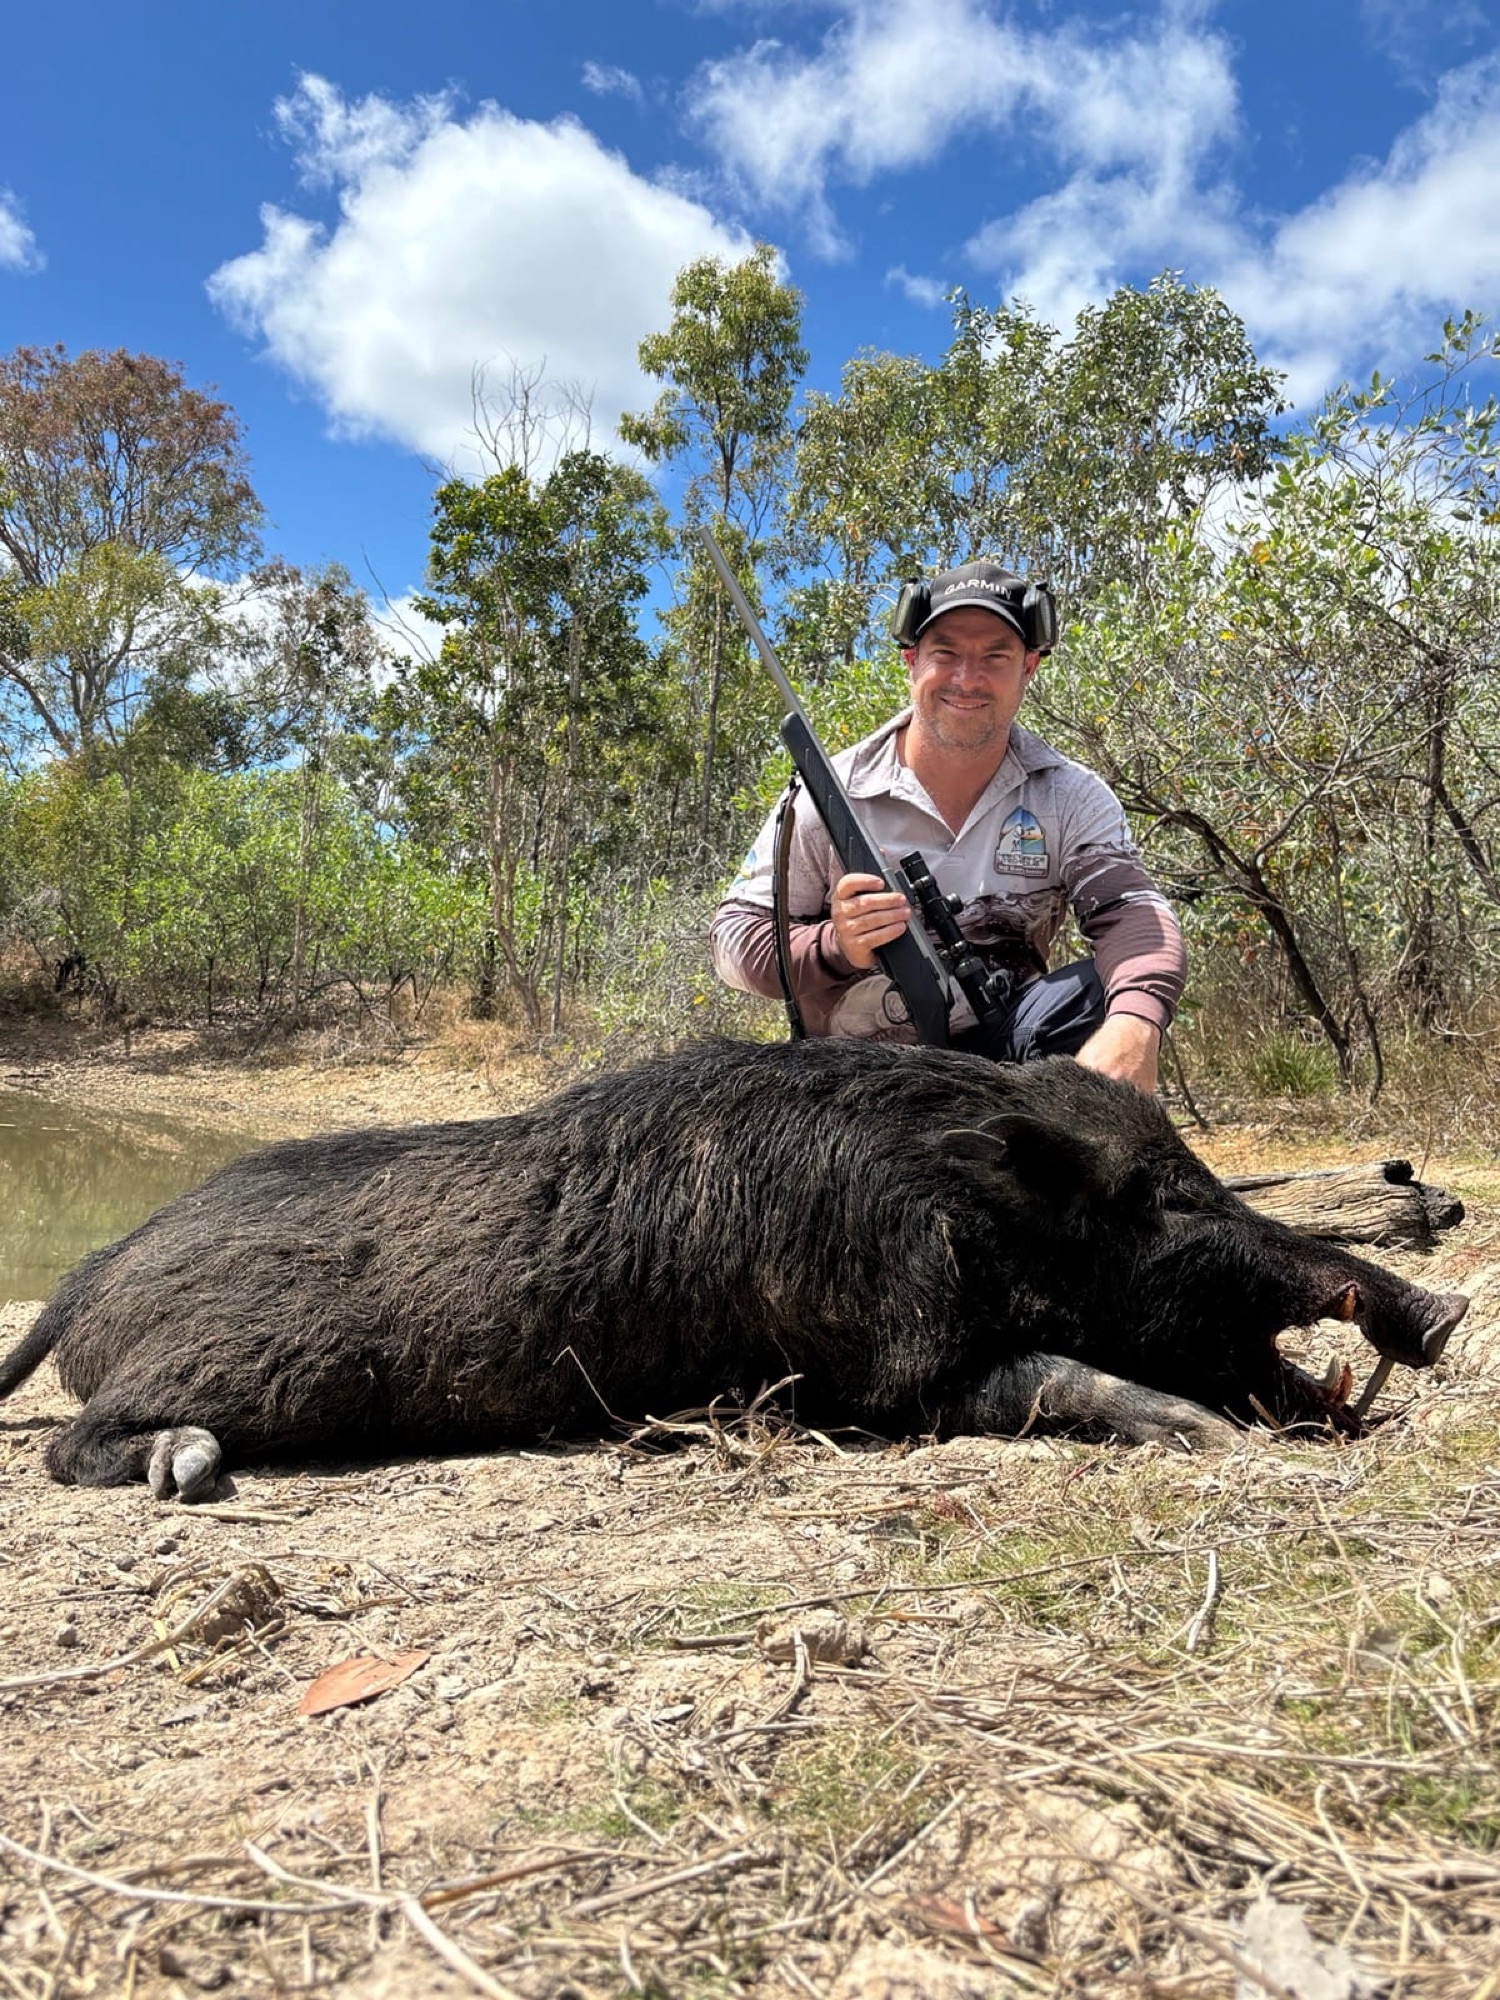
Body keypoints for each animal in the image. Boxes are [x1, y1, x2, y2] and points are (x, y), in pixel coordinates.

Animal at [0, 1038, 1468, 1502]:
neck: (950, 1205)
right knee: (73, 1443)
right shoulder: (880, 1378)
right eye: (1161, 1196)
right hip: (255, 1369)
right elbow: (1058, 1376)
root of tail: (95, 1267)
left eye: (1200, 1169)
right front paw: (1211, 1440)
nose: (1447, 1306)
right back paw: (188, 1469)